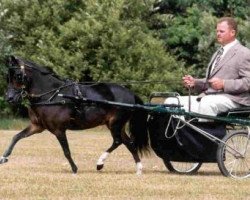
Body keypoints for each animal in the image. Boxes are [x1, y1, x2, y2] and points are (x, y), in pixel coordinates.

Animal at [1, 55, 149, 174]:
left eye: (18, 75)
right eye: (7, 76)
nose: (9, 98)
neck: (52, 95)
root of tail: (131, 94)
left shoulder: (59, 130)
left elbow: (66, 151)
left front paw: (74, 169)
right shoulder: (37, 126)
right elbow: (16, 137)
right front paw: (4, 157)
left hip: (115, 123)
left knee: (118, 141)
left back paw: (100, 163)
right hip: (117, 125)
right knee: (129, 143)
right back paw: (139, 169)